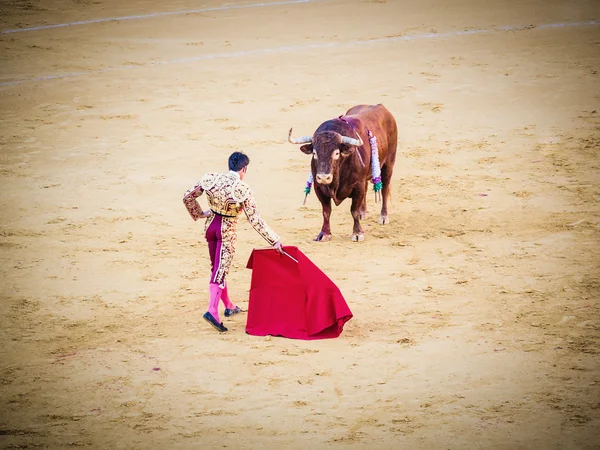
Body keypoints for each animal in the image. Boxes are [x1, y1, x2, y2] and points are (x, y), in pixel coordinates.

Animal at [290, 104, 398, 243]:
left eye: (336, 153)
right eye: (314, 153)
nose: (324, 177)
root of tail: (380, 106)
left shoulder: (358, 185)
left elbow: (354, 211)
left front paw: (357, 233)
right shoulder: (318, 187)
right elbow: (326, 211)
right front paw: (324, 233)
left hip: (389, 163)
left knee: (384, 189)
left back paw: (384, 216)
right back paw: (363, 212)